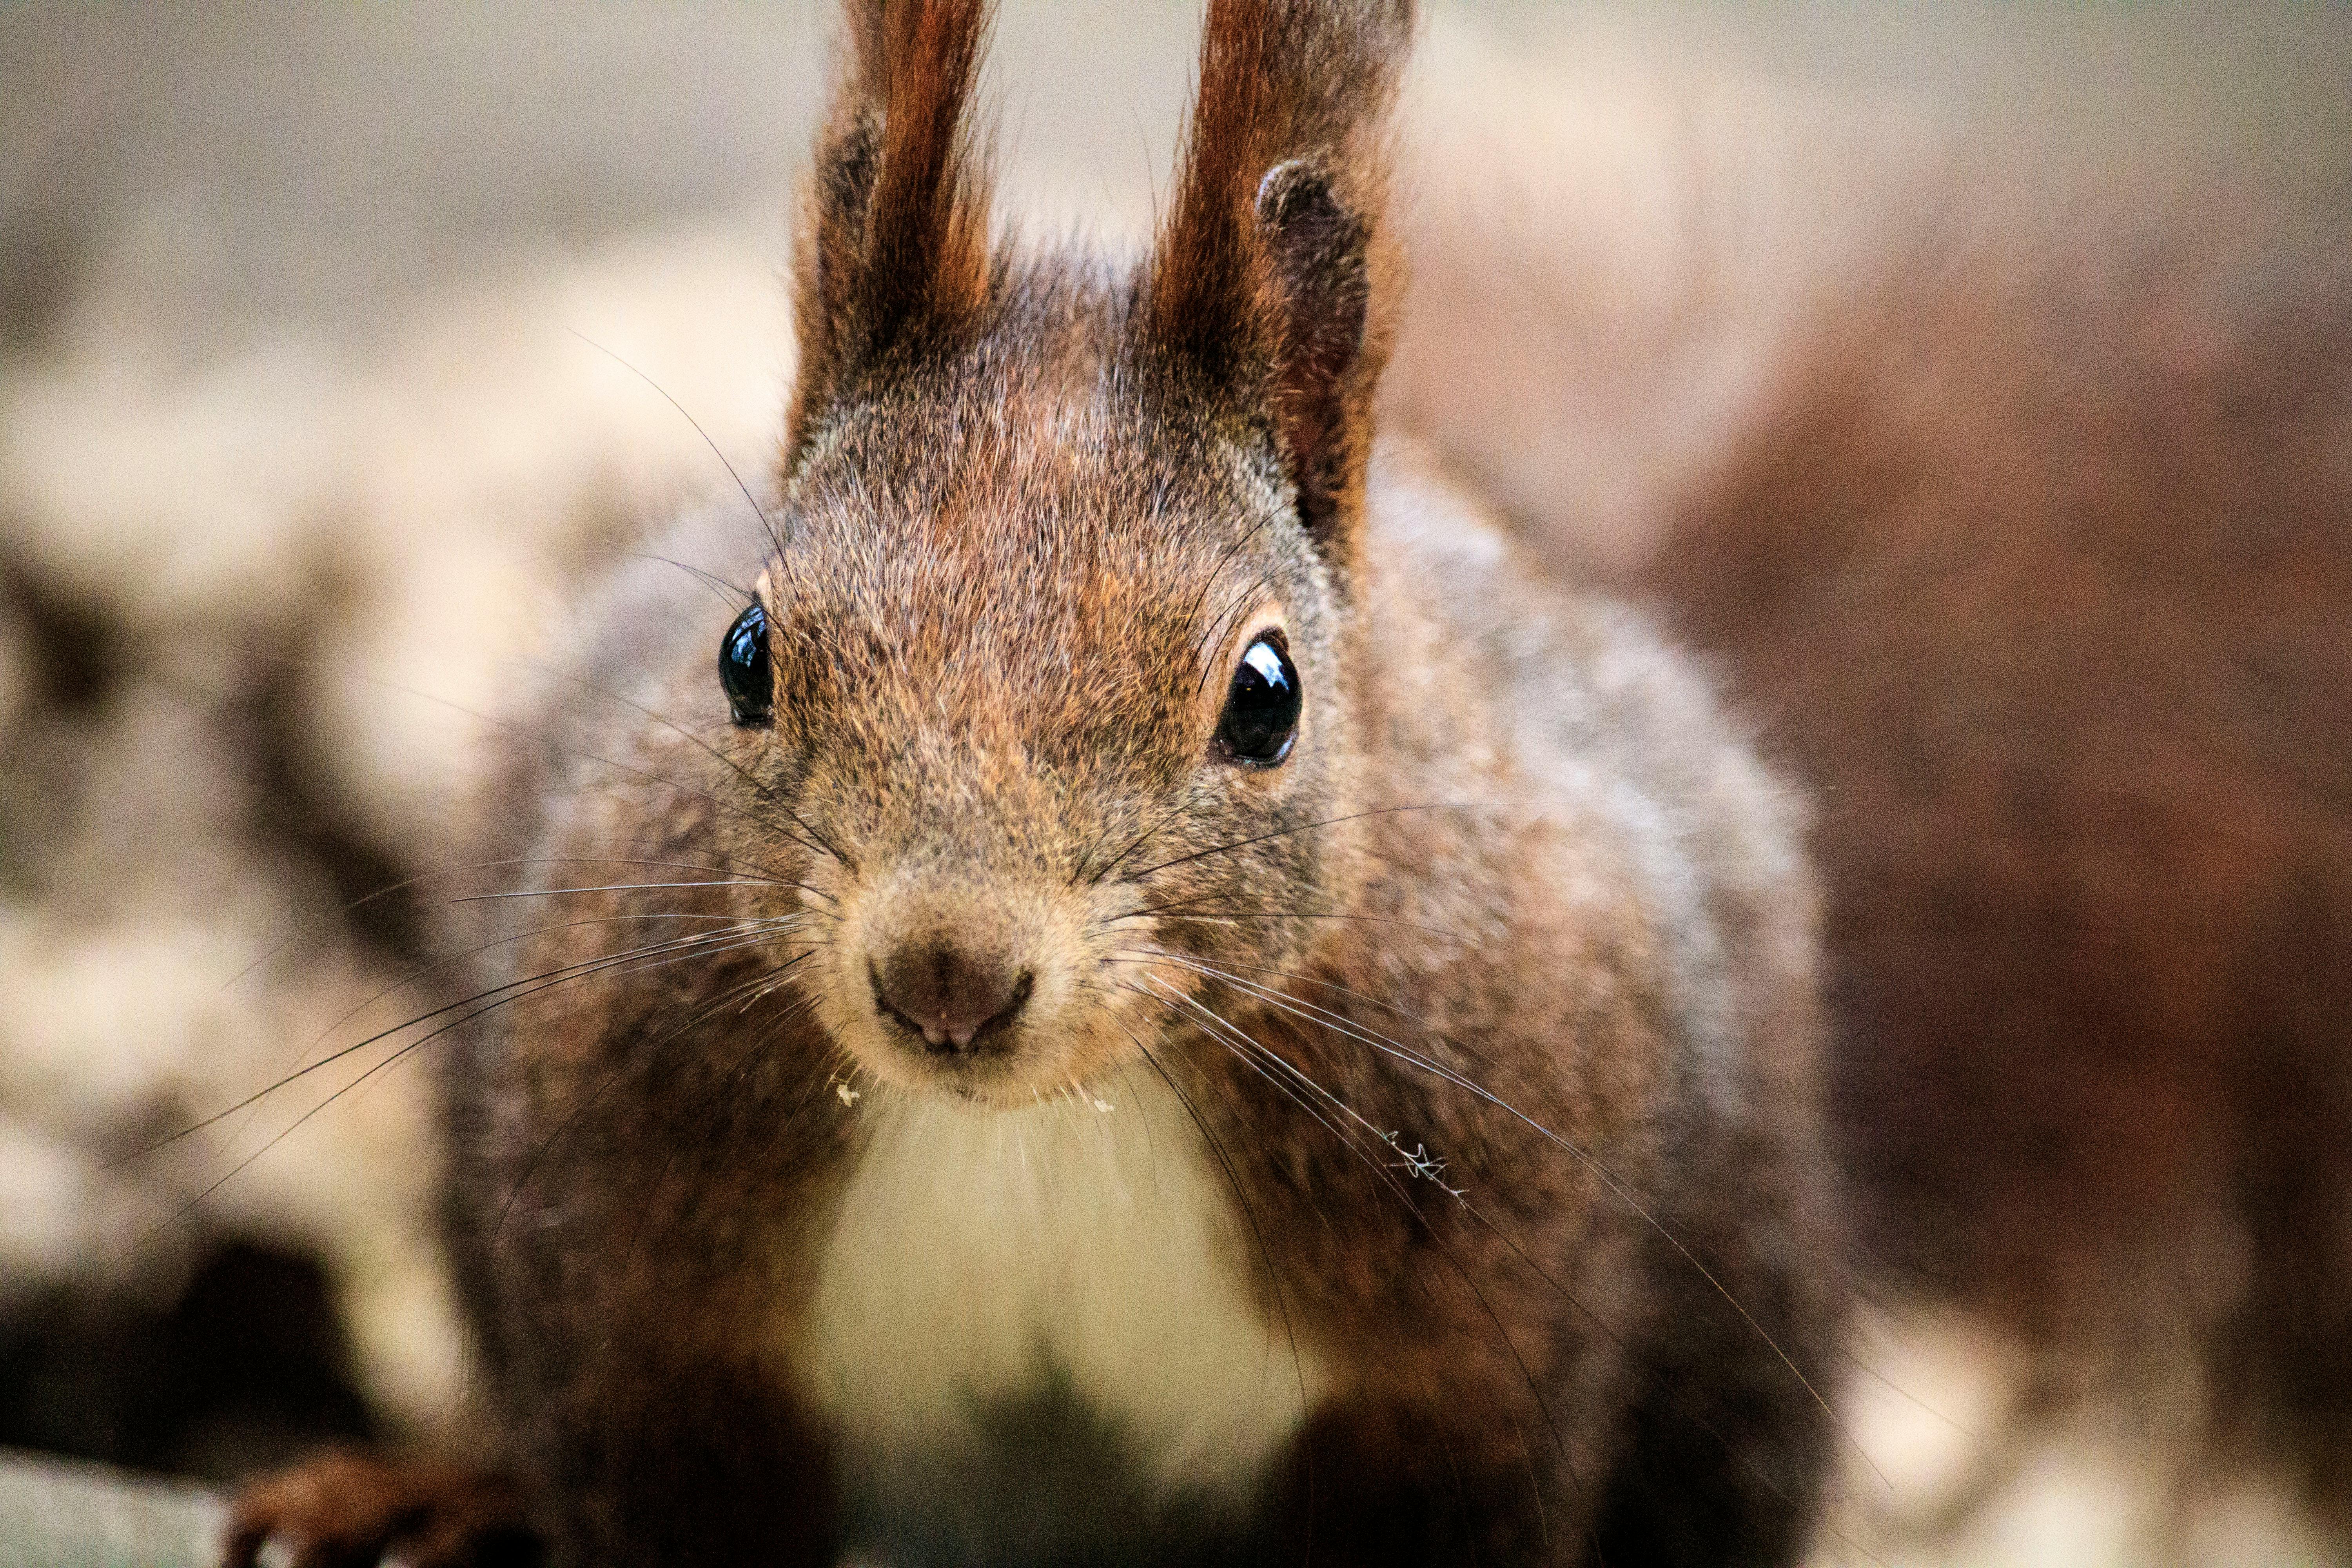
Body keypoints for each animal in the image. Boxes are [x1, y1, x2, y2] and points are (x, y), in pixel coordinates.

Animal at [221, 3, 1844, 1568]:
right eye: (745, 653)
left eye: (1267, 699)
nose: (947, 974)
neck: (1052, 1119)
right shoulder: (642, 1300)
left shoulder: (1466, 1348)